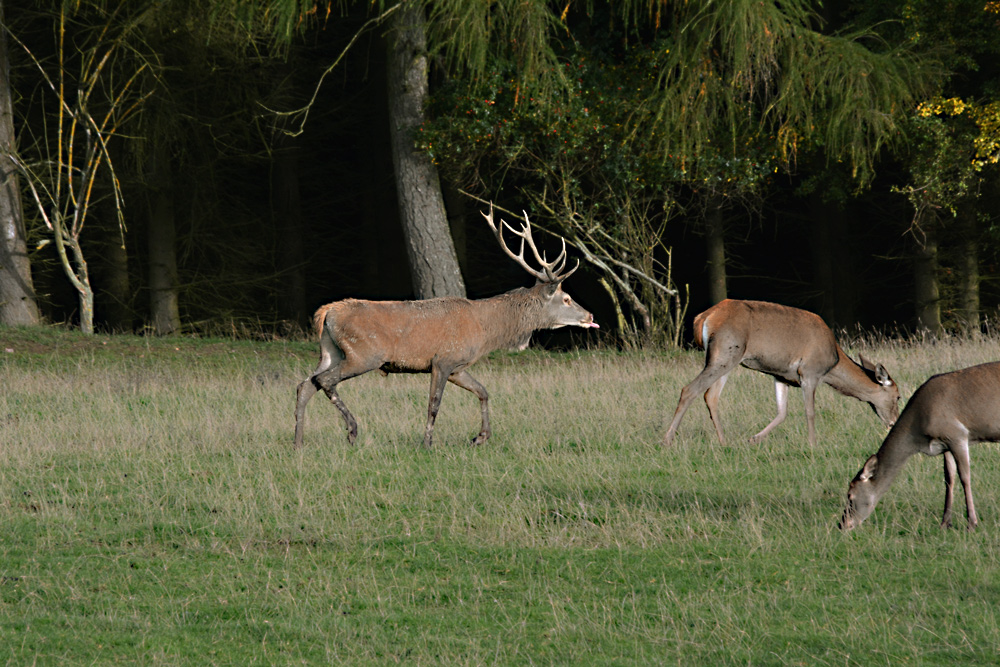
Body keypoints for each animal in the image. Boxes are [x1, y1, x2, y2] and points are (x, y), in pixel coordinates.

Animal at [292, 205, 596, 448]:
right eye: (566, 298)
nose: (589, 314)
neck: (486, 330)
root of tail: (326, 312)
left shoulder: (458, 366)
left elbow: (483, 391)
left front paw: (480, 437)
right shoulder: (443, 359)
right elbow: (434, 404)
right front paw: (427, 443)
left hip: (330, 351)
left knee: (305, 384)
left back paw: (298, 441)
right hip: (363, 353)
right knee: (324, 381)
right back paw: (352, 430)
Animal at [664, 298, 900, 448]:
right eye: (898, 396)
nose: (893, 423)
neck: (832, 363)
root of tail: (704, 317)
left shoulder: (781, 375)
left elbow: (782, 412)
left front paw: (753, 439)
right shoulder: (809, 372)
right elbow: (810, 411)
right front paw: (813, 444)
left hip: (725, 358)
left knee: (710, 396)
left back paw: (724, 442)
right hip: (726, 352)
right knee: (690, 389)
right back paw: (667, 440)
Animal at [836, 362, 1000, 528]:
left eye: (850, 495)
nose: (842, 524)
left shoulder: (957, 434)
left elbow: (965, 477)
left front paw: (971, 523)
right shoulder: (945, 442)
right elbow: (949, 478)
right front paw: (945, 523)